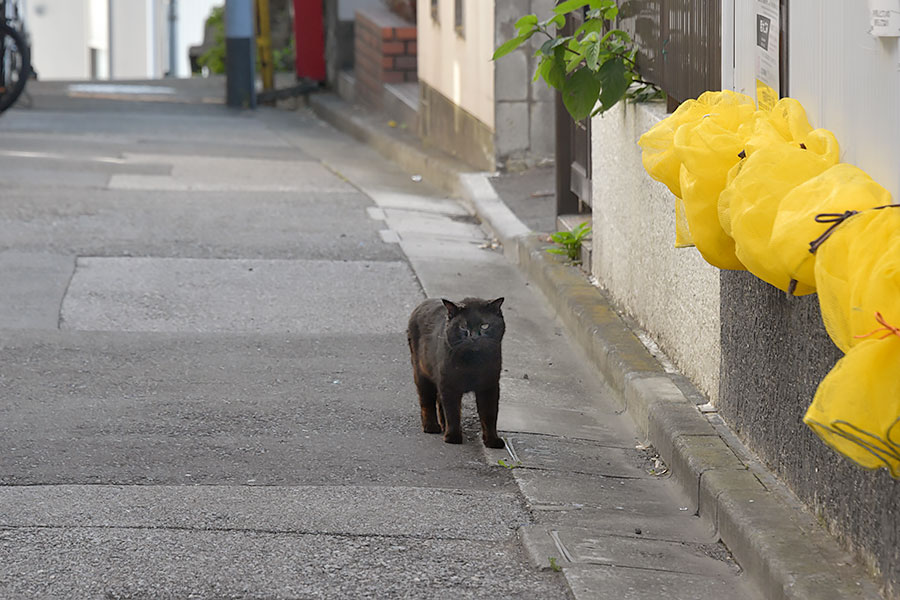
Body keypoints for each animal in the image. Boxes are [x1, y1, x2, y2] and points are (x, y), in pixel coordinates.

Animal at [408, 298, 506, 448]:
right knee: (427, 402)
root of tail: (423, 304)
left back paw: (443, 426)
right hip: (422, 375)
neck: (473, 363)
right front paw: (453, 437)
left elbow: (489, 415)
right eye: (463, 327)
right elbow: (453, 412)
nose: (474, 337)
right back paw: (431, 426)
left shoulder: (489, 387)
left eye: (485, 326)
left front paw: (492, 441)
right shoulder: (449, 385)